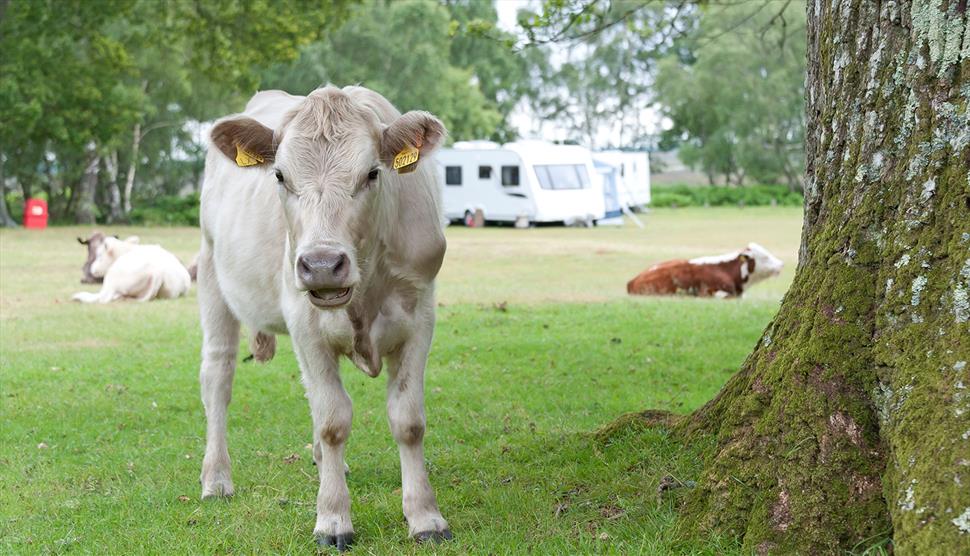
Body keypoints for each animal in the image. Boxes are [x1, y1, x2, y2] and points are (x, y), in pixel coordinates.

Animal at [200, 86, 450, 548]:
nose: (320, 265)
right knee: (217, 378)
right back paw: (216, 478)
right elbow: (333, 420)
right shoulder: (305, 325)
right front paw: (333, 519)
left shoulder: (420, 316)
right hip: (211, 274)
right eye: (279, 176)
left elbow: (408, 420)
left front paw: (425, 516)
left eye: (372, 173)